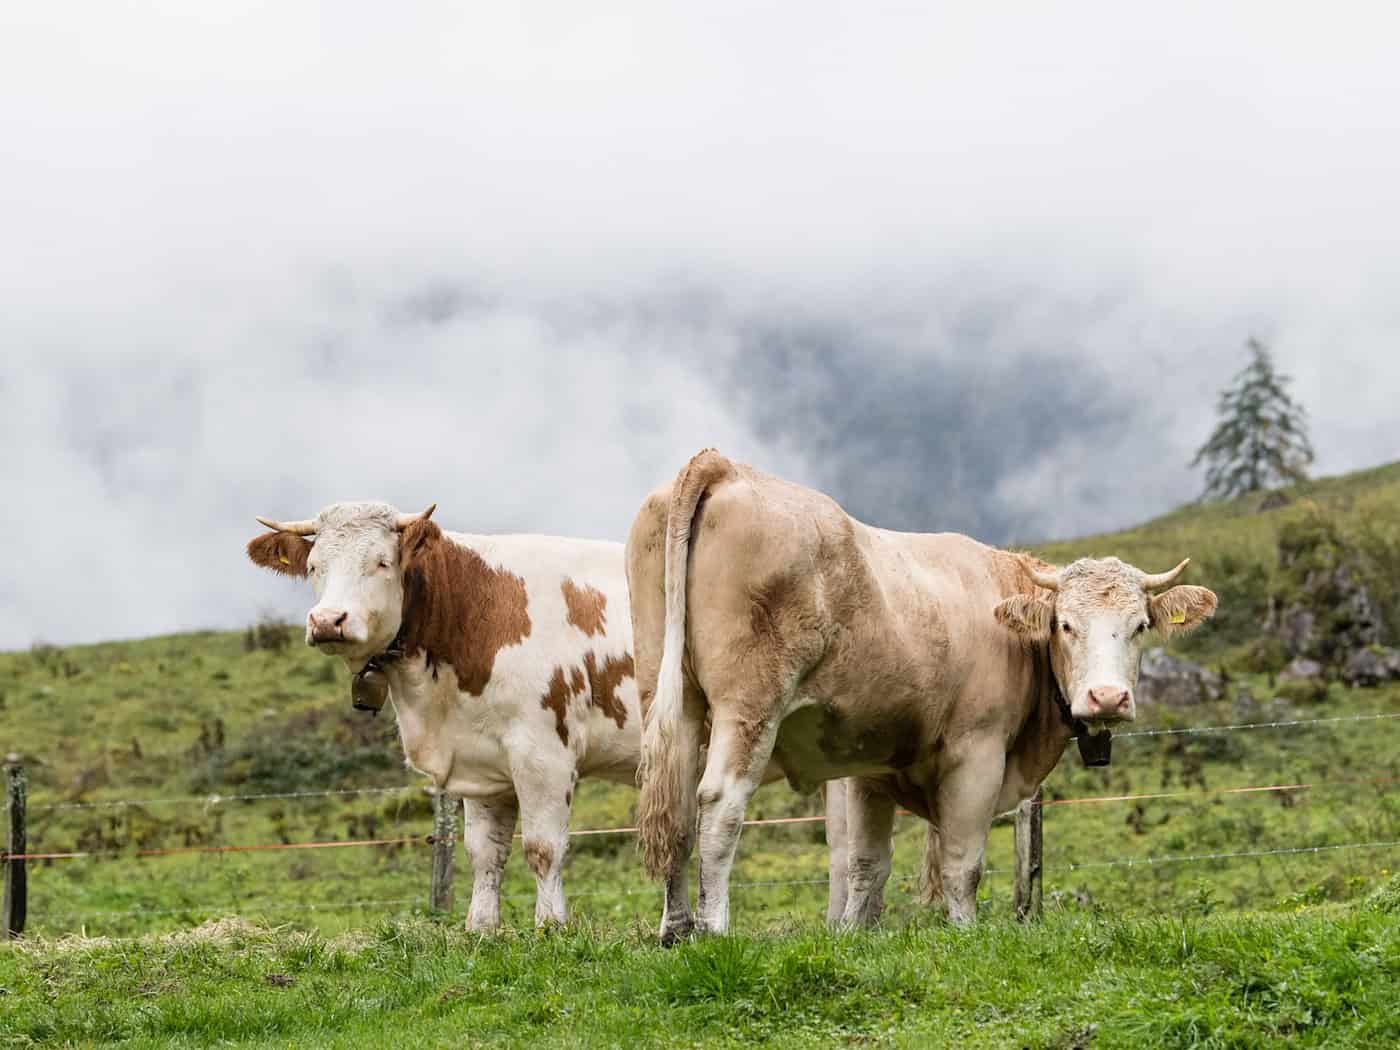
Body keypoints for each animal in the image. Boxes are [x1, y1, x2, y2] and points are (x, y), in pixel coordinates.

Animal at [246, 501, 640, 929]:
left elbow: (543, 848)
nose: (327, 620)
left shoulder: (544, 755)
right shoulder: (483, 762)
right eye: (314, 565)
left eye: (382, 562)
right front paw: (481, 928)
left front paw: (551, 927)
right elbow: (484, 853)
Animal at [628, 450, 1217, 941]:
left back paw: (675, 929)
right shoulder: (978, 753)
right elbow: (962, 863)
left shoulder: (869, 767)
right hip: (749, 705)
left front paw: (854, 938)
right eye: (1066, 626)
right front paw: (964, 934)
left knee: (676, 806)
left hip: (670, 697)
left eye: (1140, 626)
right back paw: (713, 930)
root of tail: (725, 465)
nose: (1107, 697)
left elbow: (867, 865)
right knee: (719, 803)